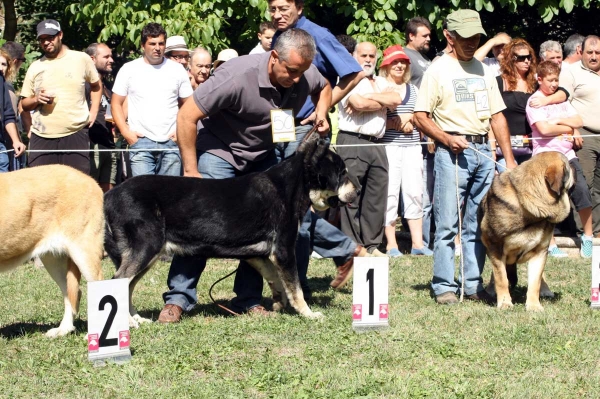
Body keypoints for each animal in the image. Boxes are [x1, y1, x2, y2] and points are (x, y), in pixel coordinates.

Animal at [103, 134, 358, 328]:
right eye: (343, 173)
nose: (356, 192)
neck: (292, 185)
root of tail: (109, 195)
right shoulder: (283, 250)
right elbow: (296, 288)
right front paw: (308, 313)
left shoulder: (258, 254)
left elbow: (275, 278)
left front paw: (278, 302)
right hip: (146, 247)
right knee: (118, 281)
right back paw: (127, 321)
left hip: (146, 255)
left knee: (127, 286)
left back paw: (136, 319)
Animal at [478, 153, 576, 312]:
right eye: (568, 164)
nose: (575, 164)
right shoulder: (494, 246)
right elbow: (501, 278)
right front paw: (504, 303)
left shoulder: (540, 251)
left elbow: (535, 282)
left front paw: (534, 306)